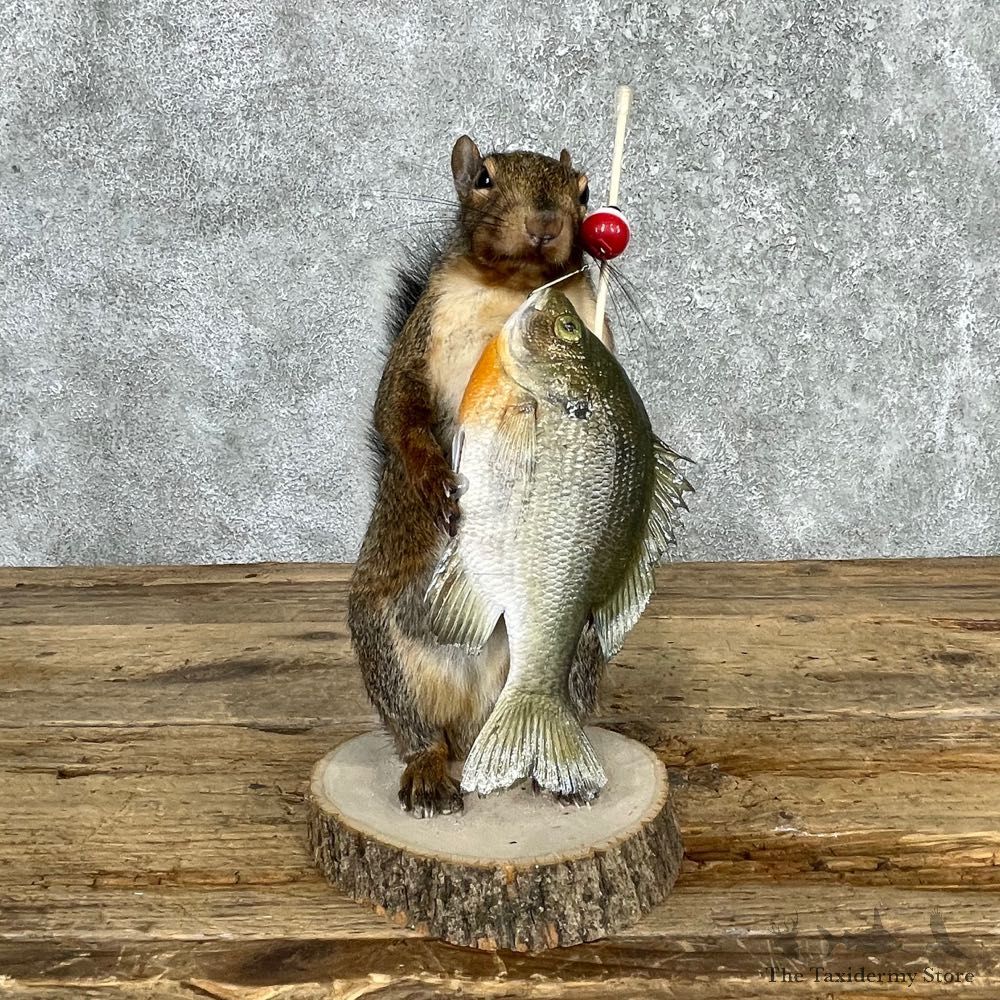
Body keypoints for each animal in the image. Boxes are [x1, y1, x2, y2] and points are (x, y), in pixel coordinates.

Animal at [348, 135, 613, 818]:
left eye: (583, 190)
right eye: (484, 178)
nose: (545, 224)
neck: (511, 292)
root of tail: (473, 727)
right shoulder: (419, 341)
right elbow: (397, 413)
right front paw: (434, 479)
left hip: (579, 645)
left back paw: (553, 776)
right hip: (384, 642)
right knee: (418, 734)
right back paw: (429, 774)